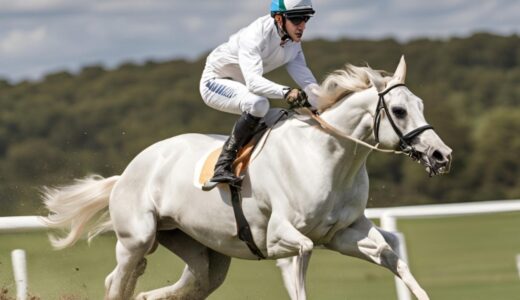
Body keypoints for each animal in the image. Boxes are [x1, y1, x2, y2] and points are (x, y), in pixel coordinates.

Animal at [43, 55, 450, 298]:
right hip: (136, 239)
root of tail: (127, 172)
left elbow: (389, 251)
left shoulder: (342, 233)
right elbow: (300, 258)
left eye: (420, 105)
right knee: (118, 281)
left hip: (201, 249)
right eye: (399, 110)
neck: (328, 158)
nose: (441, 155)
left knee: (185, 284)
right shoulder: (283, 238)